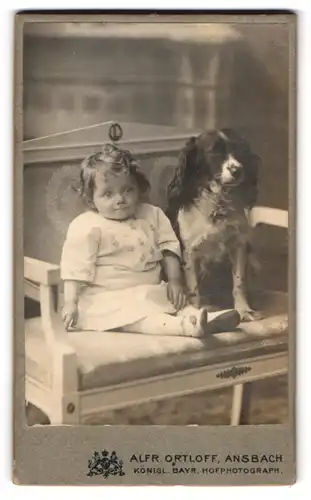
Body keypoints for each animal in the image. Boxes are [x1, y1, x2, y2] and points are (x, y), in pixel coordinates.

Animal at [168, 129, 264, 322]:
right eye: (214, 151)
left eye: (239, 148)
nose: (237, 170)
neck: (218, 206)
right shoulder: (189, 253)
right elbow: (194, 290)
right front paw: (198, 312)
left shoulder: (238, 246)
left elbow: (239, 283)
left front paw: (244, 310)